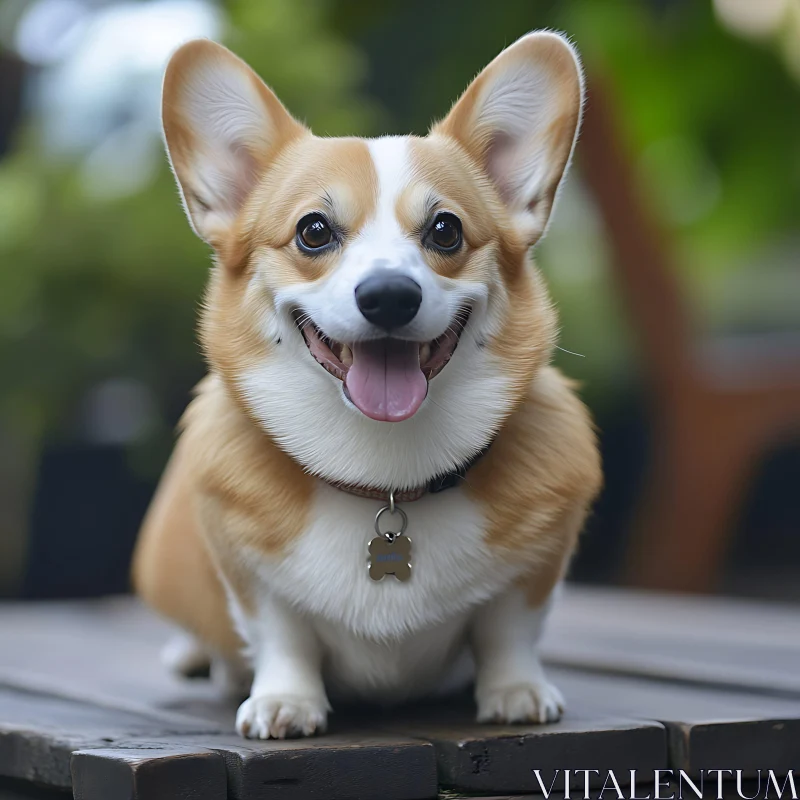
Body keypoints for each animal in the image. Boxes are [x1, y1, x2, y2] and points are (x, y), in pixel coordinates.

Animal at [134, 32, 604, 744]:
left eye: (446, 229)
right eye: (313, 231)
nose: (388, 296)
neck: (384, 478)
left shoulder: (533, 573)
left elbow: (508, 631)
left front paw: (516, 691)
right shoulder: (252, 582)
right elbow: (282, 637)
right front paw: (284, 701)